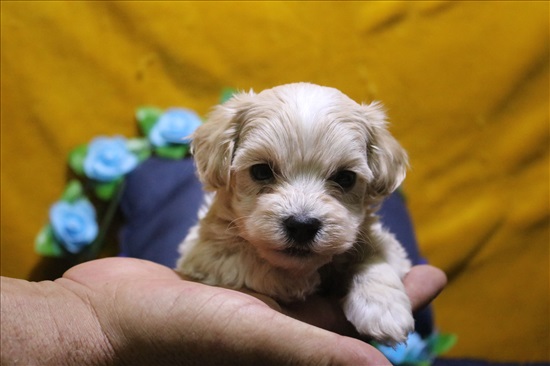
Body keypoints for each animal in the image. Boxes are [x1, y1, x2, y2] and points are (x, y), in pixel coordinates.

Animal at [179, 83, 416, 346]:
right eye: (261, 171)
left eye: (345, 178)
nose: (302, 225)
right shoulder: (202, 253)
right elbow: (240, 255)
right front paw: (292, 280)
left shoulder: (390, 247)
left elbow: (375, 257)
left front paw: (384, 308)